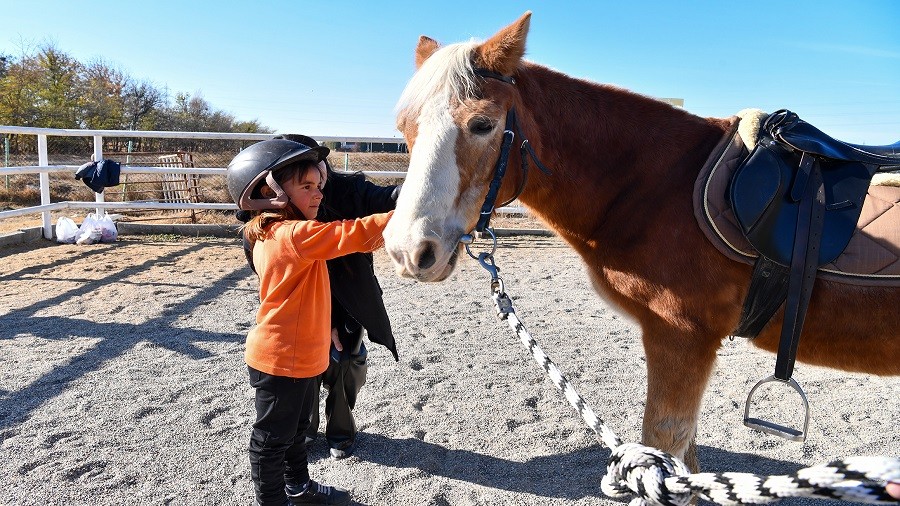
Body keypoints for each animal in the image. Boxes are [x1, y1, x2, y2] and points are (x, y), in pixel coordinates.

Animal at [380, 11, 900, 470]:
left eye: (483, 124)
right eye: (404, 129)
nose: (409, 249)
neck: (658, 185)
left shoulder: (680, 338)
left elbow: (663, 449)